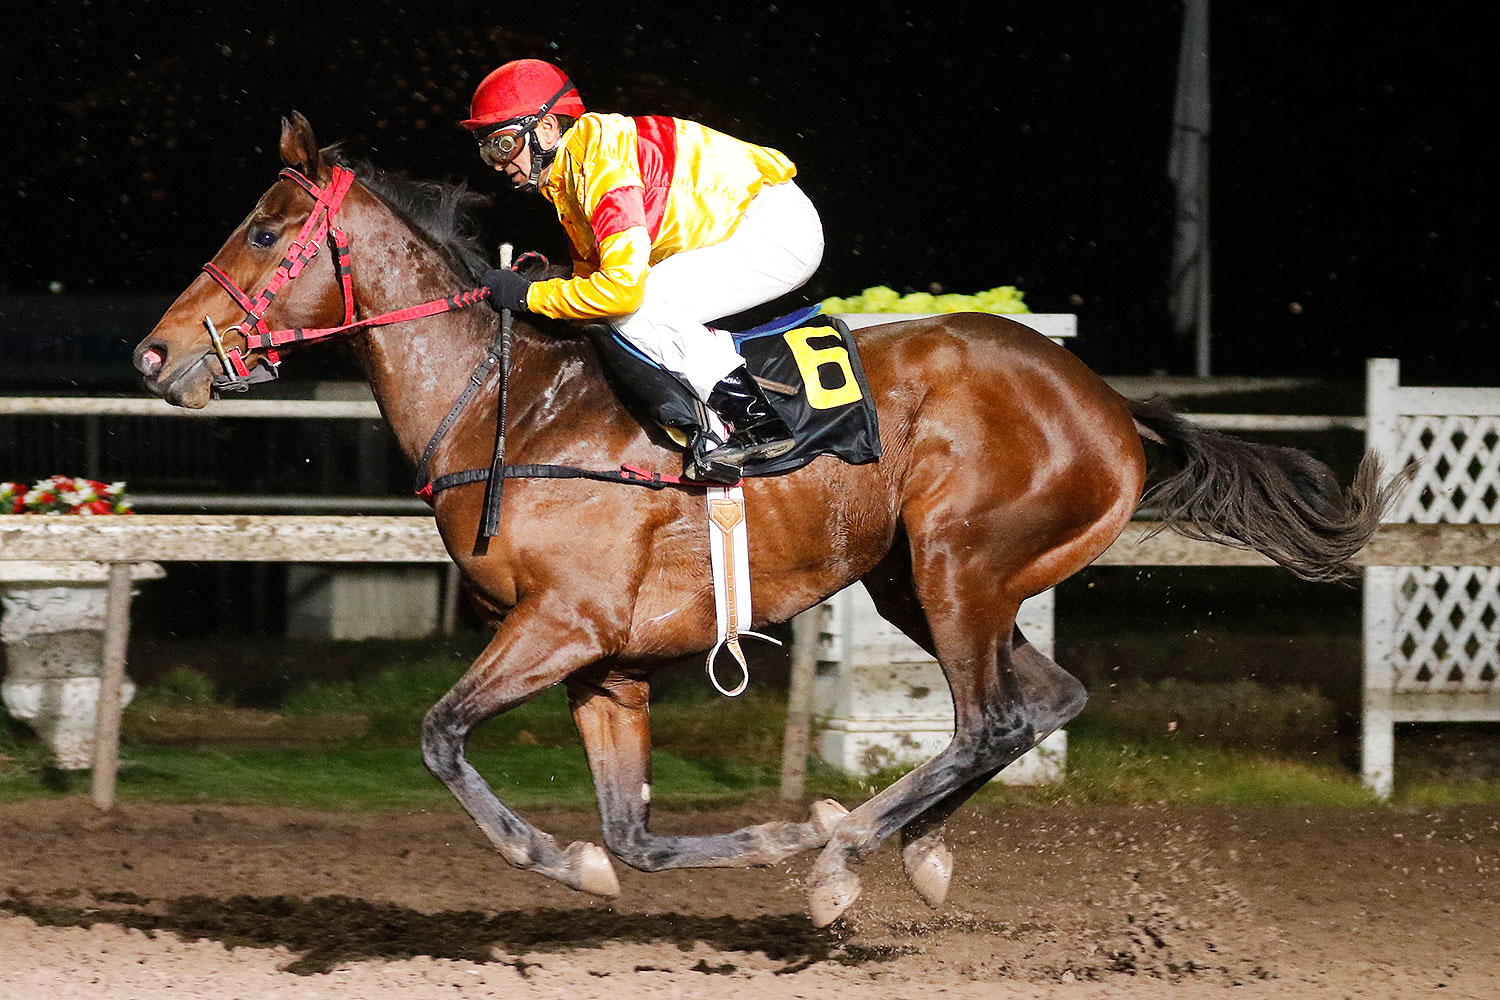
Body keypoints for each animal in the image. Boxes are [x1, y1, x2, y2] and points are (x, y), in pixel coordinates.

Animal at [133, 113, 1391, 927]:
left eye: (263, 231)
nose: (154, 353)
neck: (514, 405)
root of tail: (1111, 406)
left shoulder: (560, 625)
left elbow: (443, 736)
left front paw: (645, 852)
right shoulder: (609, 662)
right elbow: (632, 834)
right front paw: (656, 855)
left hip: (958, 560)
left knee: (992, 716)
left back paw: (845, 857)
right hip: (920, 579)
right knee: (1043, 701)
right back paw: (909, 848)